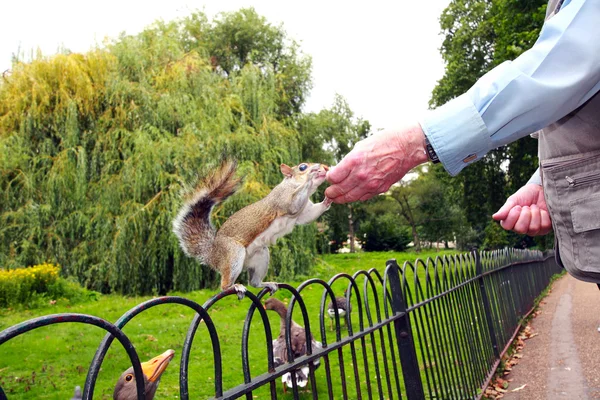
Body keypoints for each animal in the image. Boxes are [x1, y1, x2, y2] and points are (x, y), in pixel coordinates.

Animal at [173, 161, 330, 298]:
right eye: (302, 167)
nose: (323, 167)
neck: (295, 185)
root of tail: (212, 254)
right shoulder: (282, 199)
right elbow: (292, 203)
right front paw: (310, 177)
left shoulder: (304, 212)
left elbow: (309, 216)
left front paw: (327, 200)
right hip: (233, 253)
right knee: (224, 285)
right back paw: (234, 286)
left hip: (261, 256)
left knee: (253, 282)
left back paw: (266, 283)